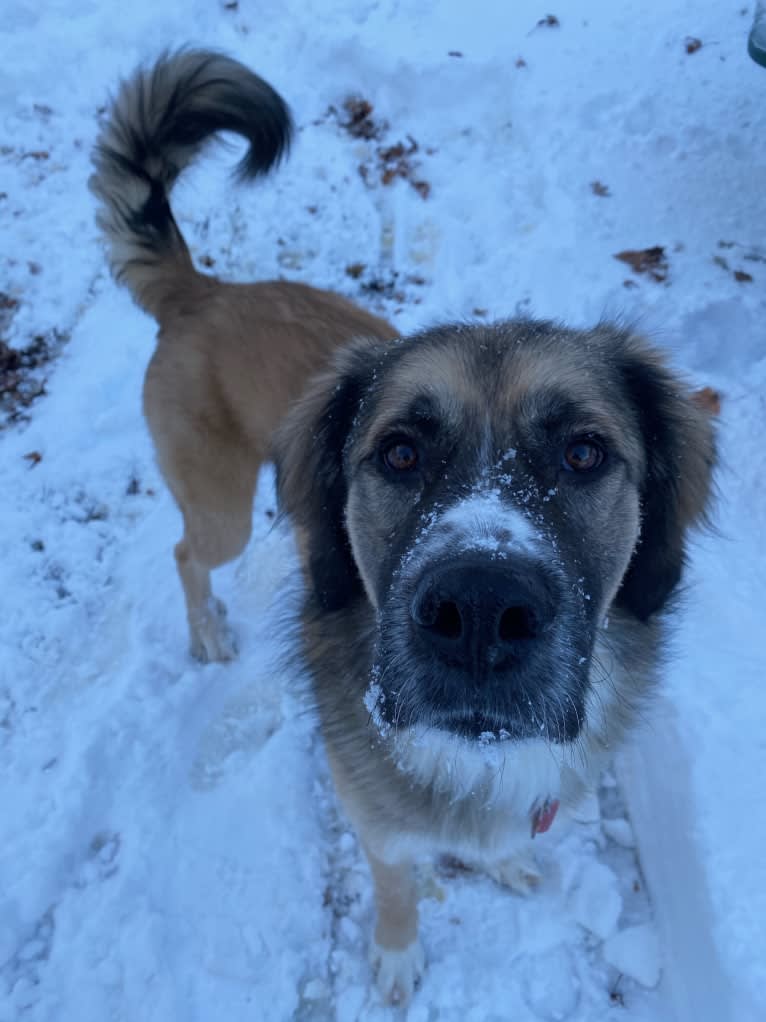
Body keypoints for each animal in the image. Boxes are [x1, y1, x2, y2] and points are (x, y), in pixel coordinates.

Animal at [273, 322, 719, 1001]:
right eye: (400, 454)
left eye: (582, 454)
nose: (480, 609)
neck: (476, 761)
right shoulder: (373, 822)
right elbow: (395, 883)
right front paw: (398, 952)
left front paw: (503, 860)